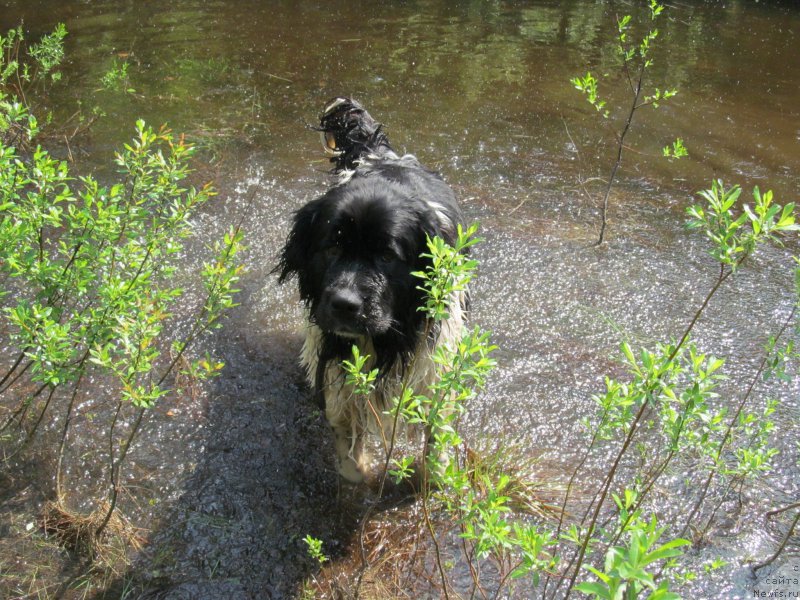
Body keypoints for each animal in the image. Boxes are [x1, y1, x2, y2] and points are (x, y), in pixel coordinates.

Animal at [276, 98, 466, 482]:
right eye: (332, 248)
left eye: (386, 255)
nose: (344, 304)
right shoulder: (334, 366)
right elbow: (347, 444)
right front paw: (360, 473)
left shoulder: (434, 360)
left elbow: (437, 432)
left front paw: (435, 476)